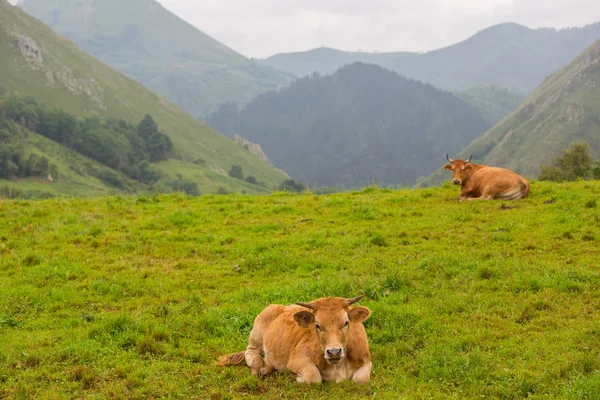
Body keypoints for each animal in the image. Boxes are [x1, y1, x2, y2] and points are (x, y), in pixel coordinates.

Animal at [218, 296, 372, 384]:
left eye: (346, 322)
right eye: (317, 325)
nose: (334, 352)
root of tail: (281, 305)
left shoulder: (366, 360)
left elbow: (359, 379)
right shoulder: (297, 359)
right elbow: (314, 377)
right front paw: (297, 377)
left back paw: (267, 367)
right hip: (256, 334)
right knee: (250, 353)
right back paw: (259, 365)